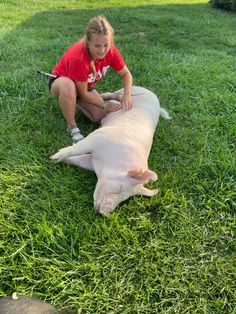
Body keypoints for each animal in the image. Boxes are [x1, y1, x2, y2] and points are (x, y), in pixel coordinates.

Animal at [50, 86, 171, 216]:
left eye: (125, 199)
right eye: (119, 189)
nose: (105, 213)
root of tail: (150, 92)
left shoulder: (91, 162)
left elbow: (76, 160)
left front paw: (53, 161)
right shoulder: (98, 137)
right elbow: (75, 149)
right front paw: (54, 156)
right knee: (109, 94)